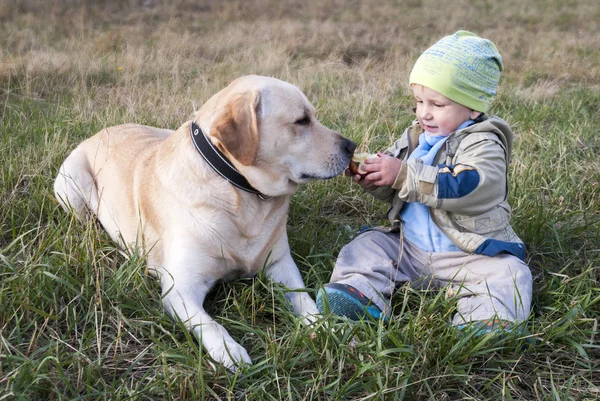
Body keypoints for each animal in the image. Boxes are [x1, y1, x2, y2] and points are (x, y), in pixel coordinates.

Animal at [54, 75, 356, 368]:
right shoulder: (180, 291)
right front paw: (229, 351)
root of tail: (102, 130)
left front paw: (327, 326)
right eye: (301, 120)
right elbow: (211, 325)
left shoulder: (281, 265)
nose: (352, 146)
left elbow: (304, 298)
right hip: (73, 187)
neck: (240, 194)